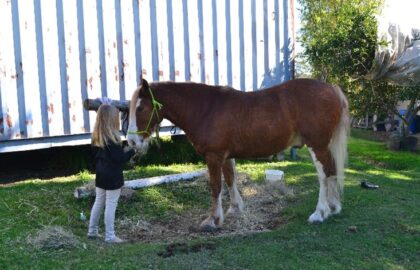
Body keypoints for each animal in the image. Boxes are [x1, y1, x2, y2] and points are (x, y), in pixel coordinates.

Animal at [126, 77, 350, 230]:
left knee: (324, 175)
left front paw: (213, 220)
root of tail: (331, 88)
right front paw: (234, 208)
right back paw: (333, 207)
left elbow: (216, 186)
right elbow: (230, 179)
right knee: (332, 172)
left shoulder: (214, 156)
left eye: (141, 108)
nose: (131, 141)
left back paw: (320, 212)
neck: (205, 108)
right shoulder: (226, 155)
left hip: (317, 146)